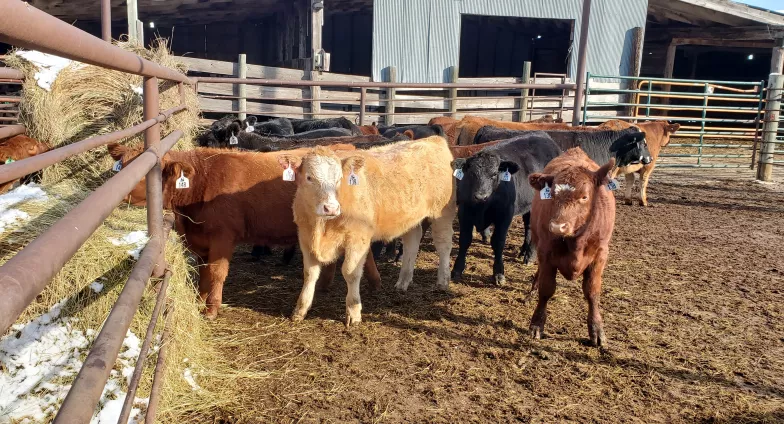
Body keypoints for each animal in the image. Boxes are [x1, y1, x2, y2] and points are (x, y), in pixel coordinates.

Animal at [108, 142, 382, 318]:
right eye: (121, 165)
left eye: (146, 174)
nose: (114, 189)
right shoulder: (198, 240)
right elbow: (203, 272)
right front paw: (199, 301)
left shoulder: (222, 237)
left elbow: (217, 272)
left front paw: (211, 309)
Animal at [278, 137, 456, 326]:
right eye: (309, 177)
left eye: (339, 179)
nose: (331, 208)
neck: (321, 226)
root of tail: (433, 139)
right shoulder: (305, 237)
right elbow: (309, 273)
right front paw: (300, 310)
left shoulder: (358, 238)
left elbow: (350, 272)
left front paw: (354, 312)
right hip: (410, 218)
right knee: (412, 243)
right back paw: (403, 282)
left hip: (443, 212)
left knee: (443, 244)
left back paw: (443, 281)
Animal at [448, 132, 564, 284]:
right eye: (472, 174)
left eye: (494, 175)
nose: (480, 196)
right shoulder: (464, 213)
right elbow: (465, 240)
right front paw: (457, 269)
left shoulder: (504, 216)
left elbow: (498, 242)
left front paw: (498, 273)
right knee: (528, 225)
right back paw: (523, 251)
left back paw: (530, 256)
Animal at [528, 147, 616, 346]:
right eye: (552, 195)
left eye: (584, 196)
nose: (556, 227)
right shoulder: (546, 252)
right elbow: (546, 289)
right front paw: (537, 324)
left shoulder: (600, 254)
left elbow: (592, 292)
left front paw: (597, 330)